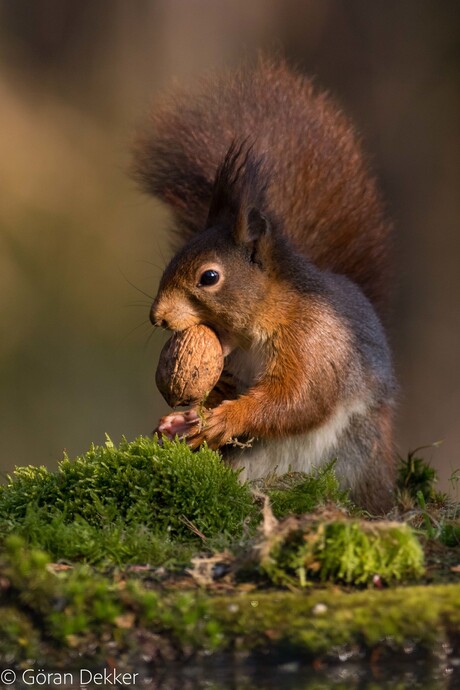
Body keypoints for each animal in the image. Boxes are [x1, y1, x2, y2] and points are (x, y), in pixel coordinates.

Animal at [133, 59, 396, 512]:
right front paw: (178, 421)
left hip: (359, 454)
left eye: (209, 277)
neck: (265, 319)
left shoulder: (313, 341)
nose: (158, 317)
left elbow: (298, 399)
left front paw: (226, 418)